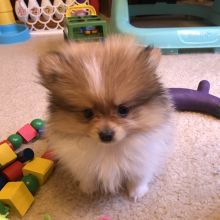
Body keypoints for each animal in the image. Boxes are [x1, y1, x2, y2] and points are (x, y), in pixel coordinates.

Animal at [39, 34, 174, 201]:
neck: (109, 149)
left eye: (123, 110)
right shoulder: (82, 164)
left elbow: (138, 177)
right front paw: (88, 189)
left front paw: (137, 192)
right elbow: (87, 177)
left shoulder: (142, 159)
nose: (106, 135)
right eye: (87, 113)